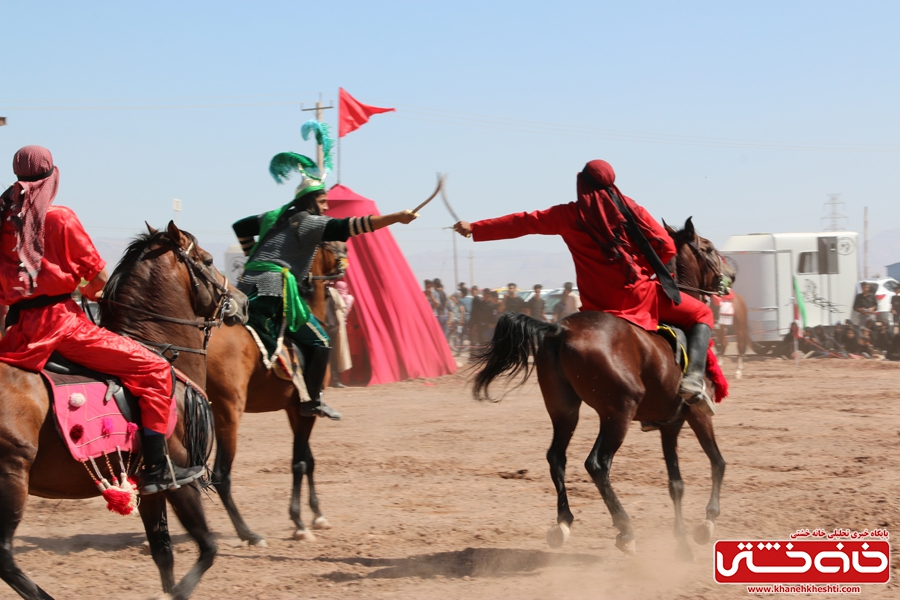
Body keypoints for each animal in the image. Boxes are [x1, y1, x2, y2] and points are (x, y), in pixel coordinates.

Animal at [0, 223, 248, 596]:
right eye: (207, 260)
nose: (243, 301)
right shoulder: (179, 478)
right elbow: (208, 548)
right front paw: (177, 592)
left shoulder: (148, 488)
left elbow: (163, 552)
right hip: (12, 477)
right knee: (4, 556)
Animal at [207, 239, 344, 544]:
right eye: (331, 244)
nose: (345, 254)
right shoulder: (307, 409)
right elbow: (299, 463)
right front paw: (299, 522)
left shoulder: (295, 408)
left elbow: (309, 460)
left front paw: (317, 515)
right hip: (227, 415)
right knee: (221, 475)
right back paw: (247, 533)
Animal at [474, 218, 728, 560]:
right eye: (709, 248)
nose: (729, 276)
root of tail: (560, 328)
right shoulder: (696, 415)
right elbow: (717, 463)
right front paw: (706, 524)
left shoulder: (669, 424)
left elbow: (676, 484)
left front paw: (682, 543)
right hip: (617, 413)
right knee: (597, 463)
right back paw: (625, 529)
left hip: (564, 411)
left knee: (557, 457)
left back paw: (563, 523)